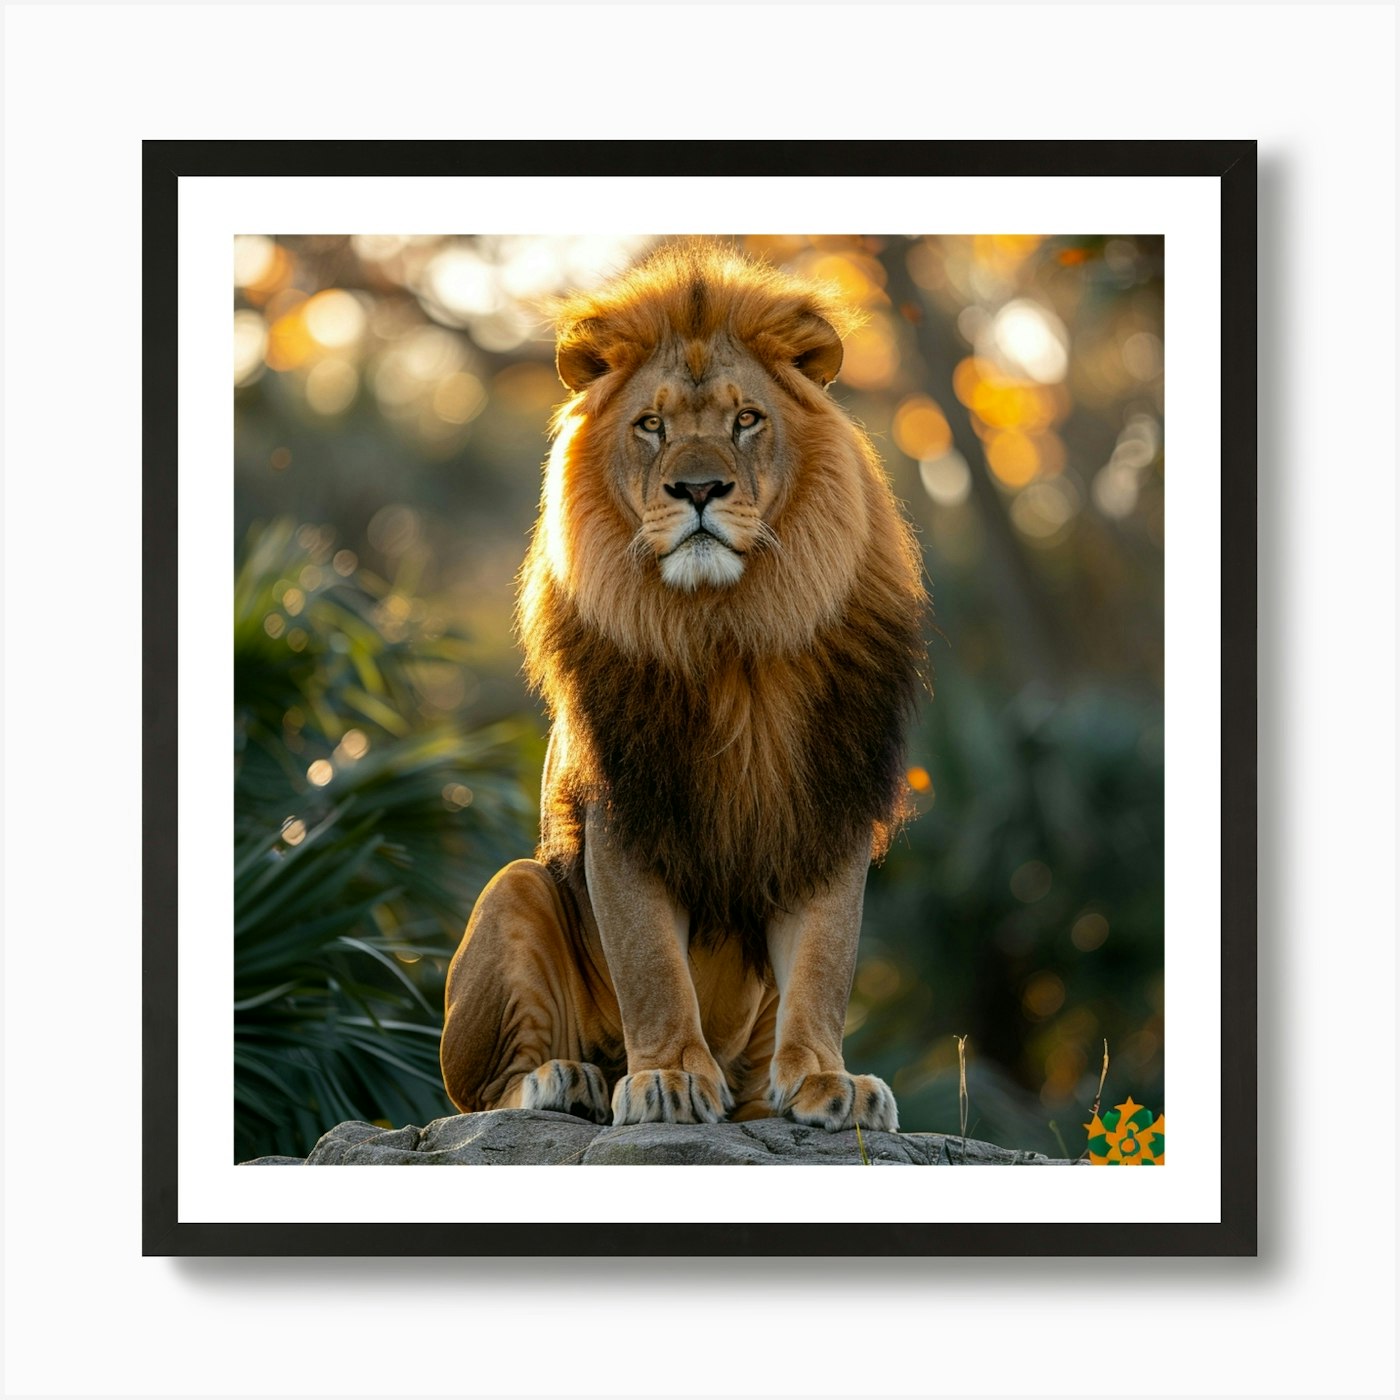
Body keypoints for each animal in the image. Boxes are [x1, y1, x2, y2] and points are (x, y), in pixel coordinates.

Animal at [440, 242, 928, 1133]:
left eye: (746, 420)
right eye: (652, 425)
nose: (698, 490)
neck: (729, 633)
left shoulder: (827, 808)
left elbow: (824, 962)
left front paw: (826, 1081)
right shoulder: (625, 810)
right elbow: (652, 966)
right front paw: (665, 1076)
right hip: (515, 890)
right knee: (482, 1094)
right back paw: (569, 1080)